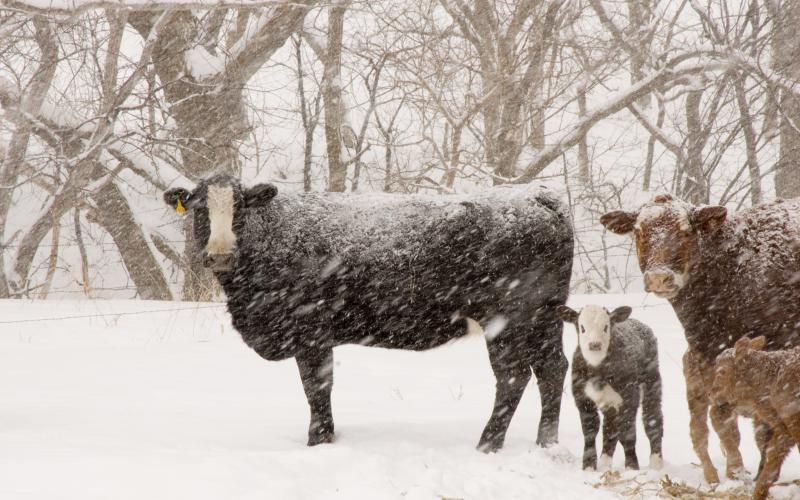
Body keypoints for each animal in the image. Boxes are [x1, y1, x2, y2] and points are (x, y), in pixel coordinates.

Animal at [163, 174, 574, 451]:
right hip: (545, 316)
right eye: (199, 209)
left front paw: (319, 441)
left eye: (240, 209)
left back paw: (488, 444)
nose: (220, 254)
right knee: (552, 368)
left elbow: (316, 386)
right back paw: (547, 442)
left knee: (513, 376)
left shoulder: (310, 330)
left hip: (507, 319)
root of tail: (536, 194)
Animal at [600, 194, 800, 484]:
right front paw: (734, 470)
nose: (659, 277)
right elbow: (721, 419)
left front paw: (748, 472)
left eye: (685, 231)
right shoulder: (708, 355)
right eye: (638, 232)